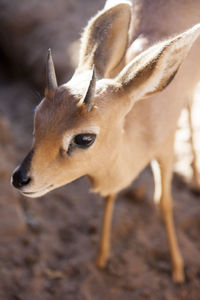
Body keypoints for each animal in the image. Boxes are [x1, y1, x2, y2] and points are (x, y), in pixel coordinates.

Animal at [10, 0, 200, 282]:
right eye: (38, 116)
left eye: (84, 138)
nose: (21, 178)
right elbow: (110, 197)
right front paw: (101, 257)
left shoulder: (166, 148)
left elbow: (164, 203)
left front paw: (177, 269)